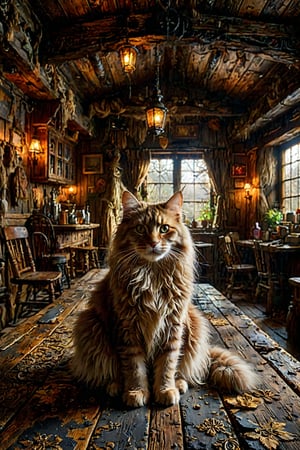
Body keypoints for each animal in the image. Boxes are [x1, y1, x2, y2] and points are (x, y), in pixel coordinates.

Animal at [72, 190, 258, 408]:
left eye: (164, 229)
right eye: (140, 229)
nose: (153, 243)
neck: (152, 277)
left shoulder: (173, 326)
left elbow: (168, 364)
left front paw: (165, 389)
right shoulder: (127, 330)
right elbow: (134, 368)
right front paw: (136, 391)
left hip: (194, 324)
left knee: (184, 368)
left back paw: (179, 384)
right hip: (90, 324)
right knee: (111, 369)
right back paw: (116, 386)